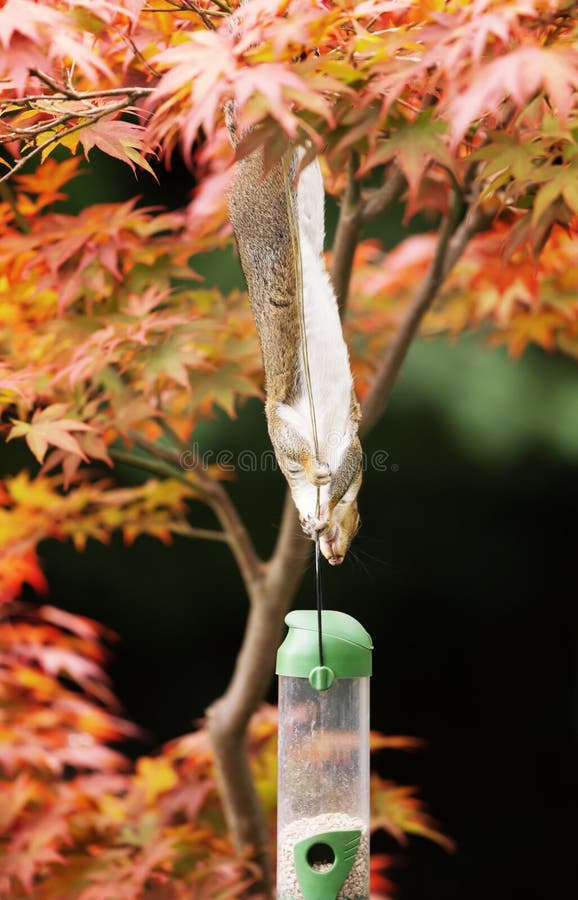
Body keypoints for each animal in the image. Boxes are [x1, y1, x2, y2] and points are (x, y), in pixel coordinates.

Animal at [226, 120, 363, 565]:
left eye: (359, 523)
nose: (336, 558)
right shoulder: (281, 422)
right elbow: (297, 451)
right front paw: (315, 497)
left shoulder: (351, 446)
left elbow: (343, 476)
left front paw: (322, 509)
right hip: (265, 201)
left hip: (301, 193)